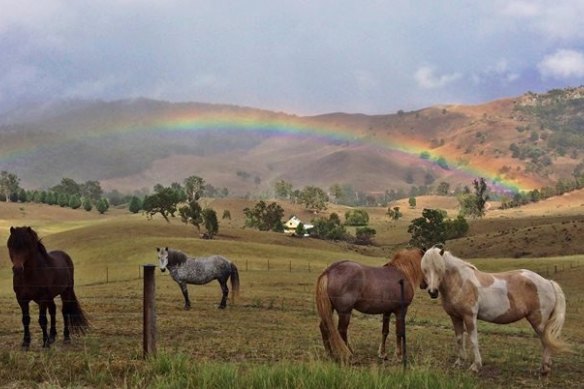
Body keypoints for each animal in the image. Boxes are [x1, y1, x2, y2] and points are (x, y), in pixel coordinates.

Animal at [422, 244, 568, 374]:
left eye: (440, 269)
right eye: (425, 269)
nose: (433, 292)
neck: (461, 283)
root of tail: (548, 282)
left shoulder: (469, 316)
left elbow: (473, 340)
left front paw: (476, 366)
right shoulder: (455, 317)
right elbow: (459, 339)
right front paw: (459, 362)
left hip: (538, 321)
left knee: (545, 341)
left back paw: (544, 369)